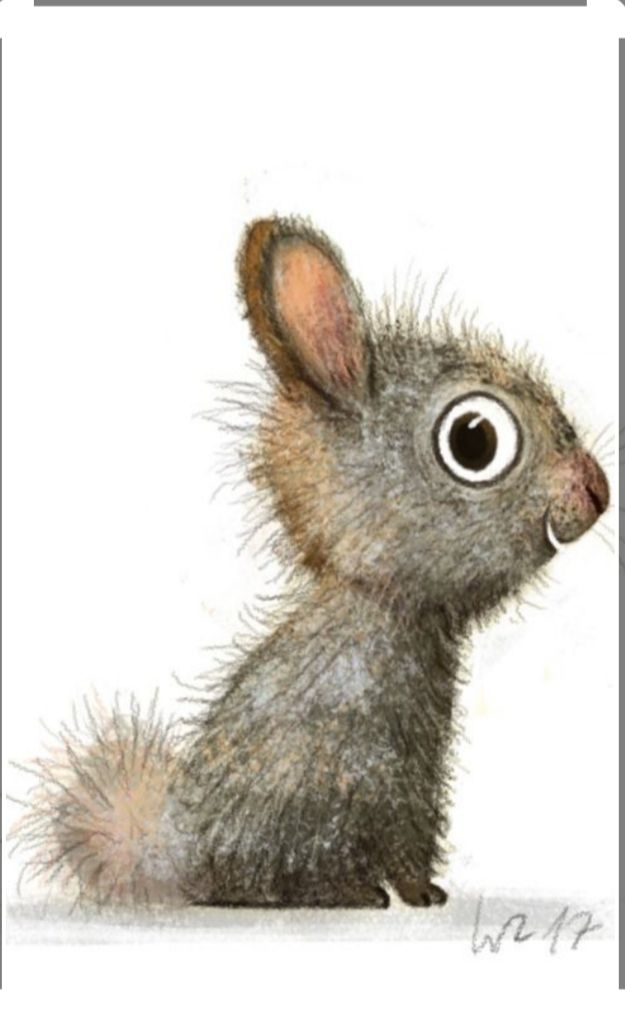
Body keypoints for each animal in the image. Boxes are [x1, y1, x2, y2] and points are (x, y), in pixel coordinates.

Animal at [12, 215, 609, 910]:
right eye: (474, 440)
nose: (596, 490)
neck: (382, 615)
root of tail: (186, 854)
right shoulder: (367, 780)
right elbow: (387, 845)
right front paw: (397, 892)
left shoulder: (415, 784)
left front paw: (424, 893)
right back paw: (344, 892)